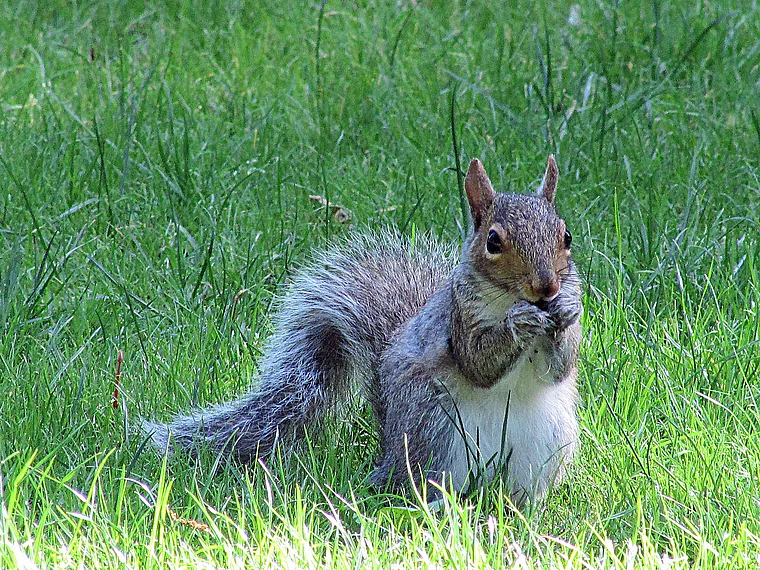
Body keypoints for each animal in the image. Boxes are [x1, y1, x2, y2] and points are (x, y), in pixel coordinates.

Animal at [143, 156, 582, 506]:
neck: (512, 298)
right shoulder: (458, 318)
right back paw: (441, 506)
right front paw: (517, 324)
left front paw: (566, 312)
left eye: (566, 236)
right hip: (435, 431)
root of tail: (388, 456)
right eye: (493, 241)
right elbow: (478, 363)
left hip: (545, 443)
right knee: (425, 486)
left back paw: (525, 510)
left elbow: (559, 368)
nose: (546, 287)